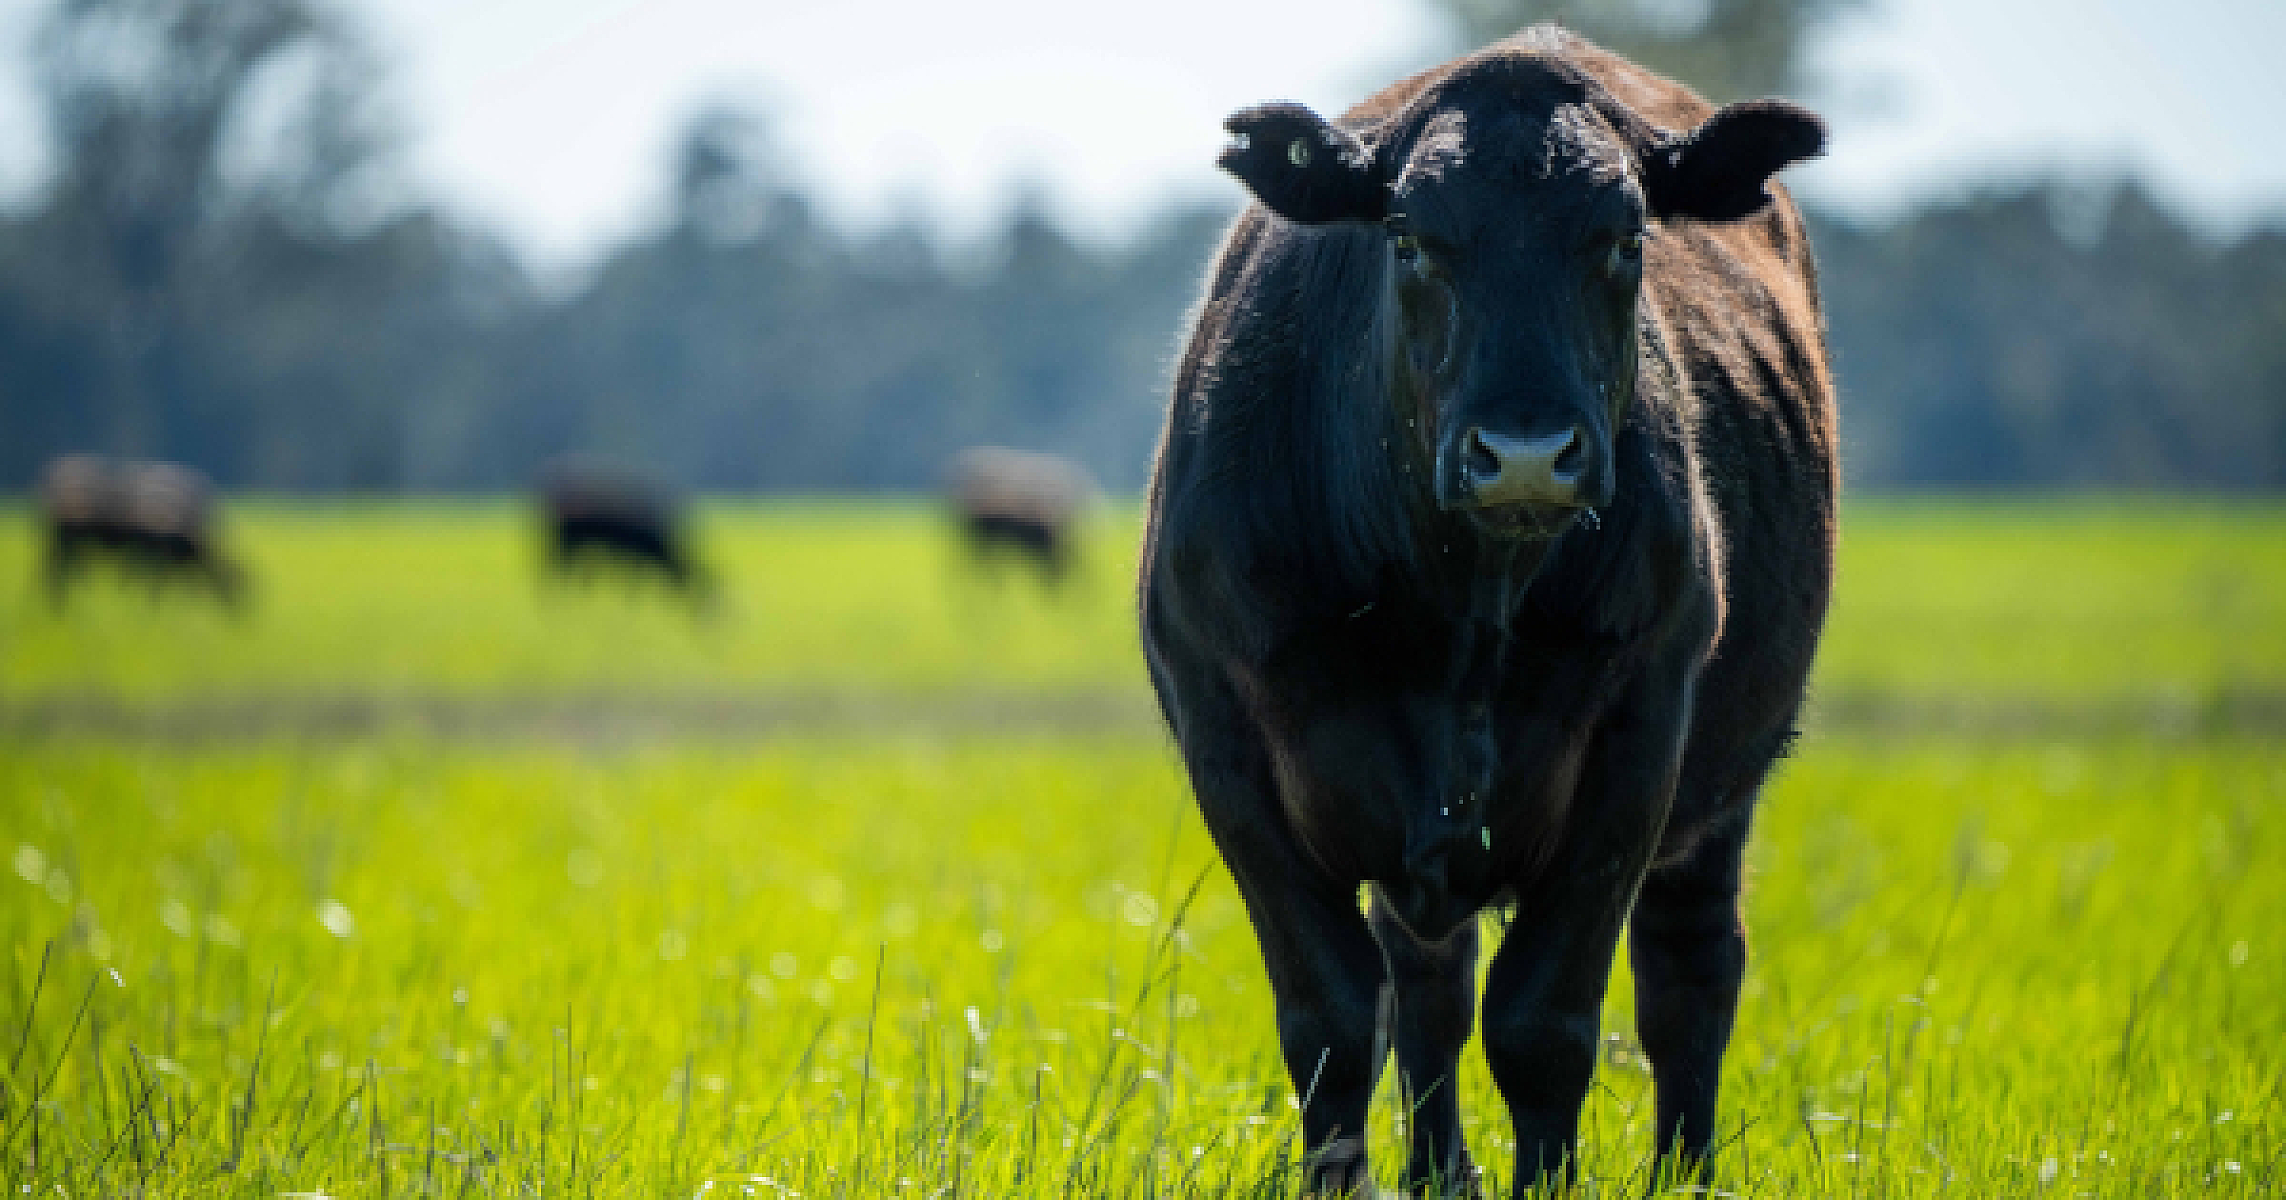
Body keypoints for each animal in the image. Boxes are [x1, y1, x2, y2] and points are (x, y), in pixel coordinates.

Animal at [38, 456, 246, 610]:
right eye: (245, 592)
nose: (242, 621)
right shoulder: (157, 556)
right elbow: (154, 585)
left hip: (65, 541)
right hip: (67, 540)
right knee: (55, 570)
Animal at [1139, 26, 1836, 1194]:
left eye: (1625, 237)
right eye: (1412, 239)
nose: (1523, 453)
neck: (1457, 608)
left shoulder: (1637, 744)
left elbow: (1542, 1027)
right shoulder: (1228, 746)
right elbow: (1334, 1023)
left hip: (1725, 785)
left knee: (1690, 977)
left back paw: (1683, 1169)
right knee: (1429, 985)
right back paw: (1438, 1170)